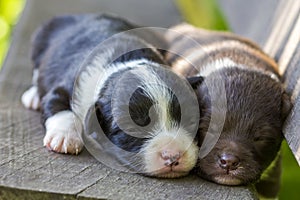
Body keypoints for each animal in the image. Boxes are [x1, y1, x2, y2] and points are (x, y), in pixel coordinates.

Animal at [21, 14, 199, 178]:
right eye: (133, 128)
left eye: (191, 121)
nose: (172, 157)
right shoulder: (65, 87)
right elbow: (59, 106)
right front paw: (65, 137)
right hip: (40, 38)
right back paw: (33, 96)